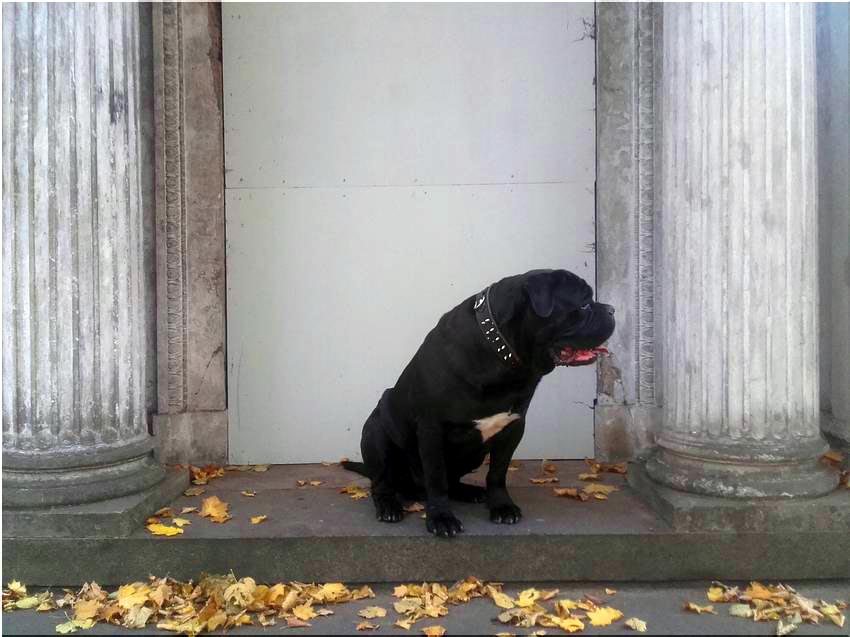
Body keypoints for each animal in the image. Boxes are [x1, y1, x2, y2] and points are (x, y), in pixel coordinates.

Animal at [342, 269, 615, 538]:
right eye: (583, 304)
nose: (612, 309)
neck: (502, 353)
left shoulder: (513, 427)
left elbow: (497, 472)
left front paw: (502, 506)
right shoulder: (431, 428)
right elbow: (436, 476)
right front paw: (441, 517)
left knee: (451, 480)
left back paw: (469, 491)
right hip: (376, 433)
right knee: (383, 482)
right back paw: (389, 505)